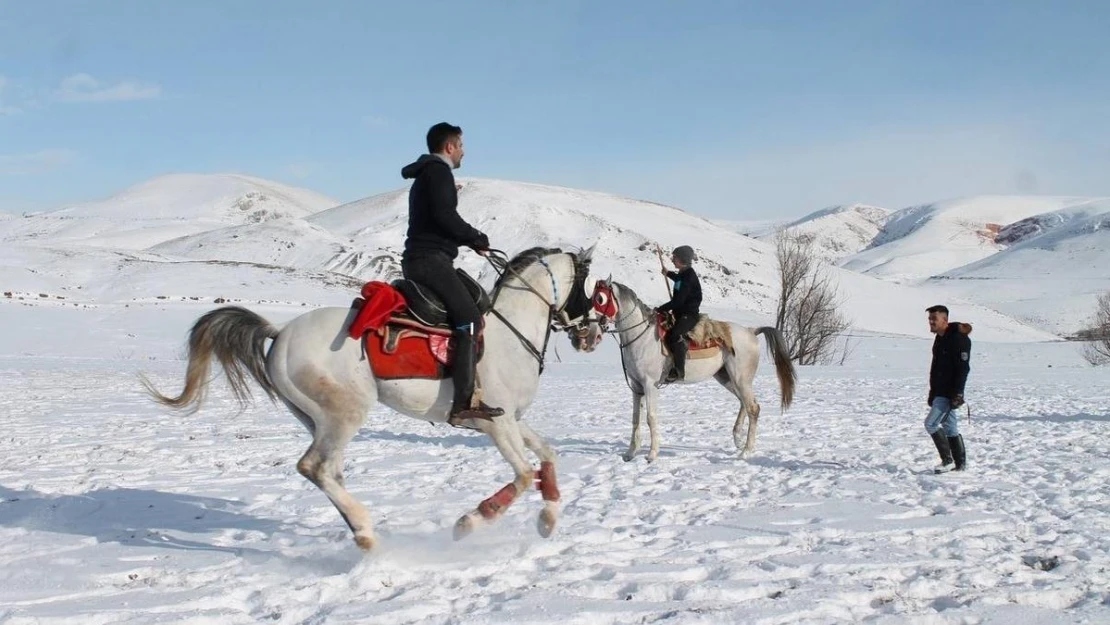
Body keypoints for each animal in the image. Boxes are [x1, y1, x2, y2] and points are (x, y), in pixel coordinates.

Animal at [146, 247, 603, 550]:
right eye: (588, 286)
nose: (593, 334)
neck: (511, 333)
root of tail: (281, 334)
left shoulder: (512, 420)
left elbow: (548, 456)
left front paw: (548, 519)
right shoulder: (496, 421)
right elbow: (524, 474)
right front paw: (471, 522)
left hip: (320, 419)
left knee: (330, 471)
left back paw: (359, 529)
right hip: (345, 413)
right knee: (315, 467)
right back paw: (366, 532)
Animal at [572, 280, 799, 461]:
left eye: (601, 299)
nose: (589, 334)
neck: (641, 336)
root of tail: (752, 331)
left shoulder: (650, 385)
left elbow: (650, 418)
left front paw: (652, 455)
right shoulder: (636, 387)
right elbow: (636, 419)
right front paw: (630, 454)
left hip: (740, 379)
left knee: (753, 408)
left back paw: (746, 451)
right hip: (727, 378)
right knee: (745, 404)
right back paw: (737, 439)